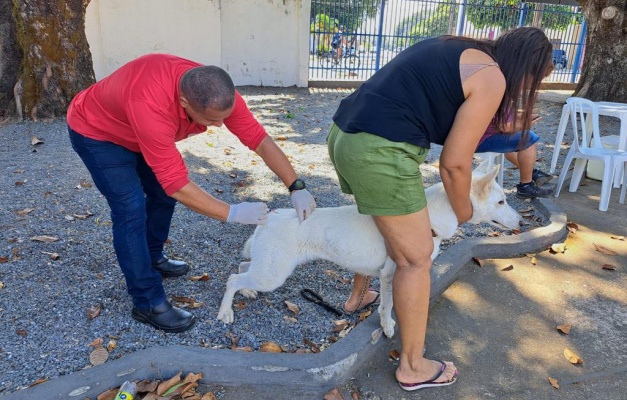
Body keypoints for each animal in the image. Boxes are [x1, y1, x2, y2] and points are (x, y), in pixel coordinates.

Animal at [218, 163, 524, 338]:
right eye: (501, 201)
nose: (522, 221)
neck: (429, 218)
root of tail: (270, 216)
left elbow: (389, 303)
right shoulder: (391, 273)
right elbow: (388, 306)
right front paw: (388, 327)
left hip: (267, 269)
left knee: (242, 268)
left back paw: (247, 292)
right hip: (273, 274)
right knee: (232, 278)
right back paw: (225, 312)